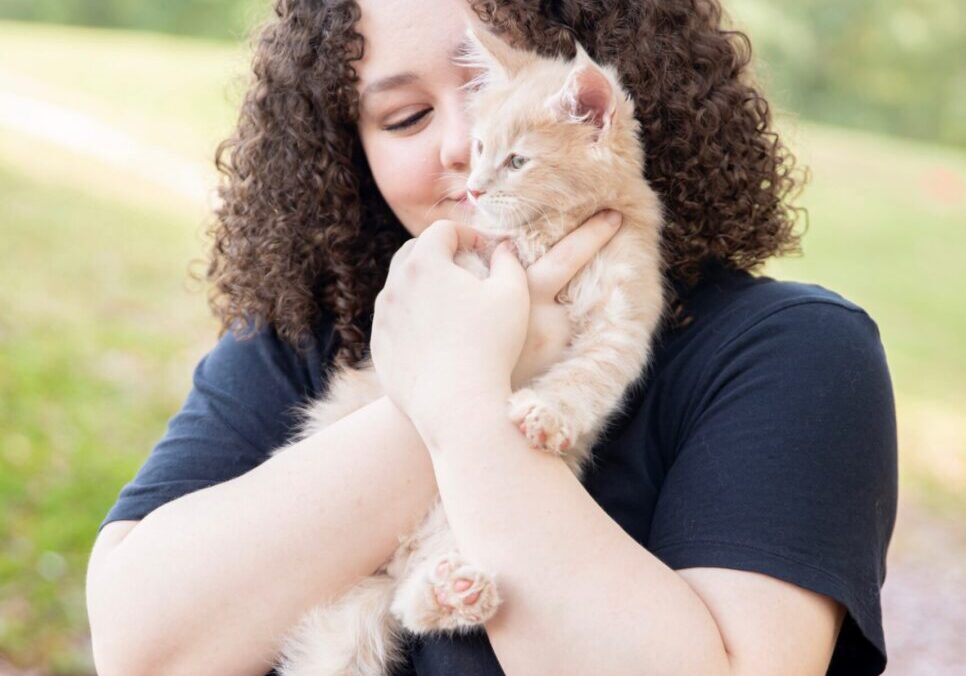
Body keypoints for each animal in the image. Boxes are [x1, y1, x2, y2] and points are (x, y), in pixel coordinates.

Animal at [272, 25, 664, 676]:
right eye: (480, 149)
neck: (549, 230)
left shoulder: (622, 322)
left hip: (455, 529)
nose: (474, 186)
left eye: (517, 160)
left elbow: (587, 377)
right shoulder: (473, 256)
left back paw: (452, 593)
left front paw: (549, 415)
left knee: (407, 601)